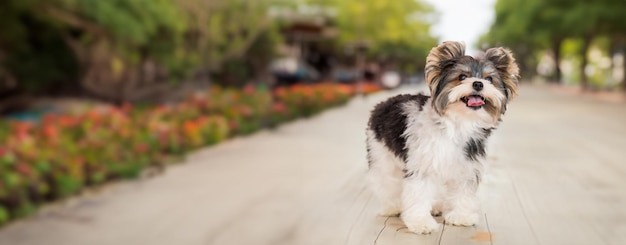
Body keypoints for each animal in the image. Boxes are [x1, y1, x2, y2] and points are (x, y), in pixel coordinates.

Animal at [364, 41, 520, 234]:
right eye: (462, 76)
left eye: (489, 79)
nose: (478, 84)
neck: (458, 123)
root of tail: (382, 104)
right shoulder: (421, 165)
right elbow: (418, 193)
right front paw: (420, 222)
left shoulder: (466, 165)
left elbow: (463, 191)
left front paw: (461, 216)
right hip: (381, 154)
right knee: (386, 181)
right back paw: (392, 207)